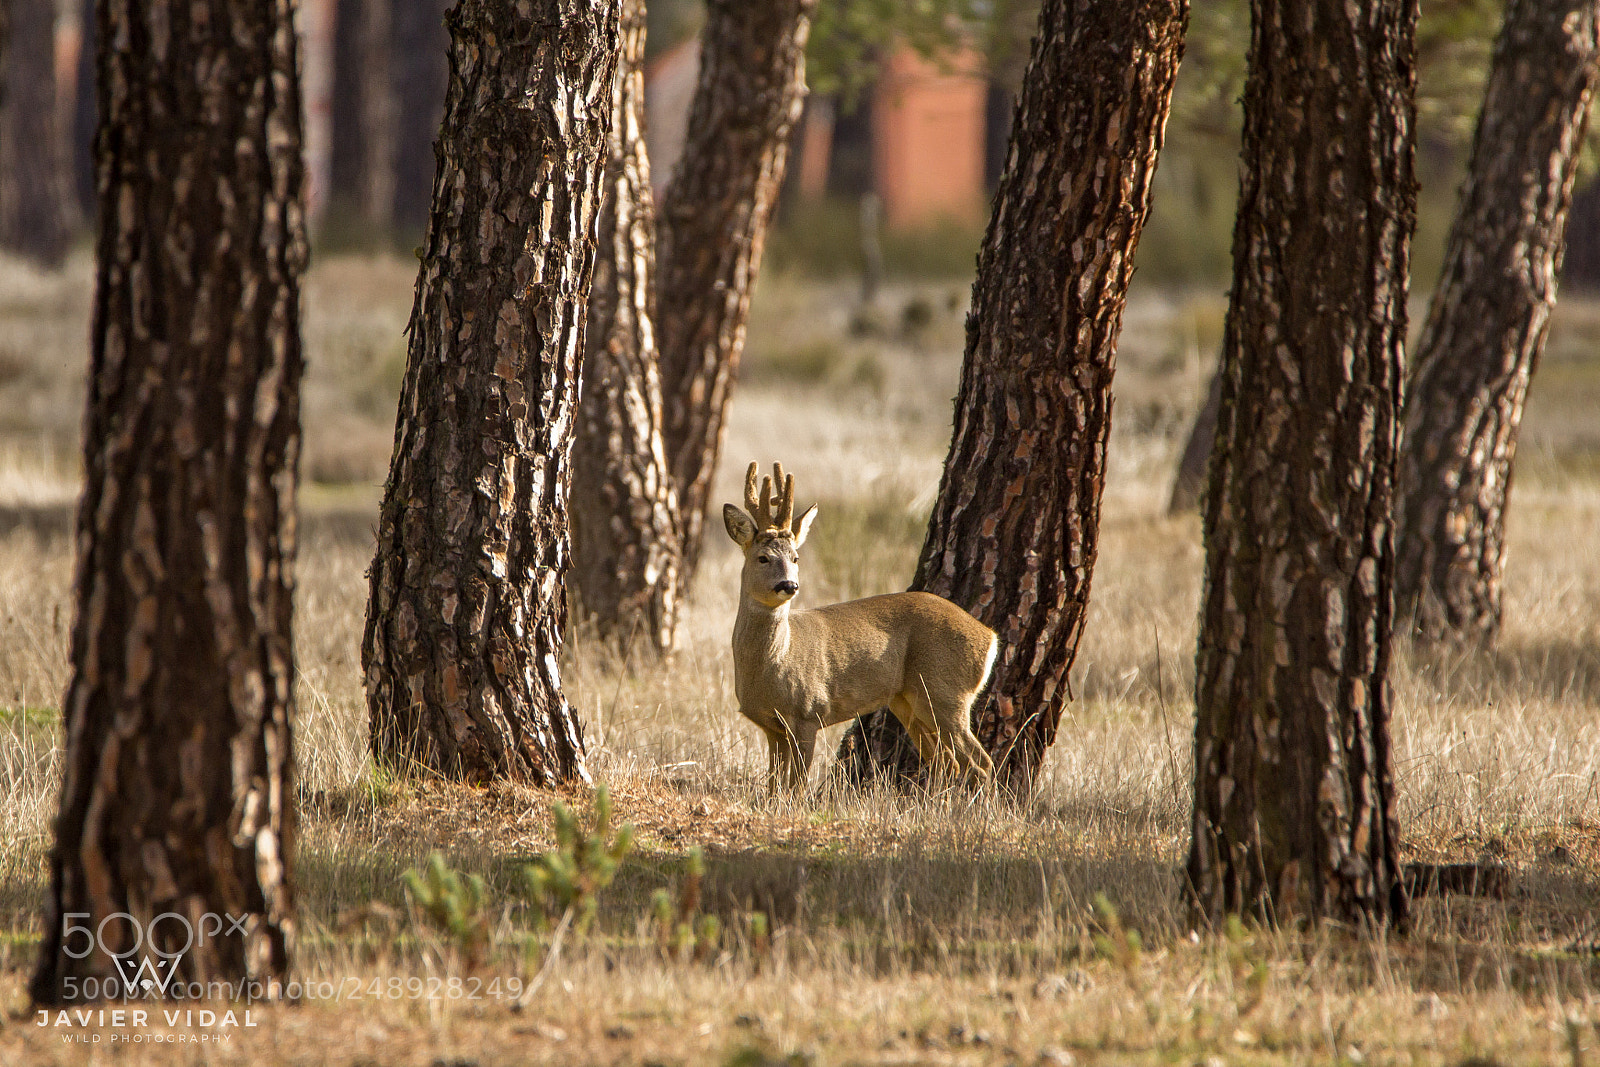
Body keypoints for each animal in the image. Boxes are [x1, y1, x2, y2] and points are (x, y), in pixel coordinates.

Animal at [722, 462, 997, 792]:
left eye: (796, 558)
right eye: (763, 557)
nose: (789, 585)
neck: (774, 662)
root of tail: (990, 637)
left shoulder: (809, 712)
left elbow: (797, 785)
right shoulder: (770, 726)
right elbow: (775, 785)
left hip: (947, 692)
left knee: (981, 763)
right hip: (908, 701)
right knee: (946, 762)